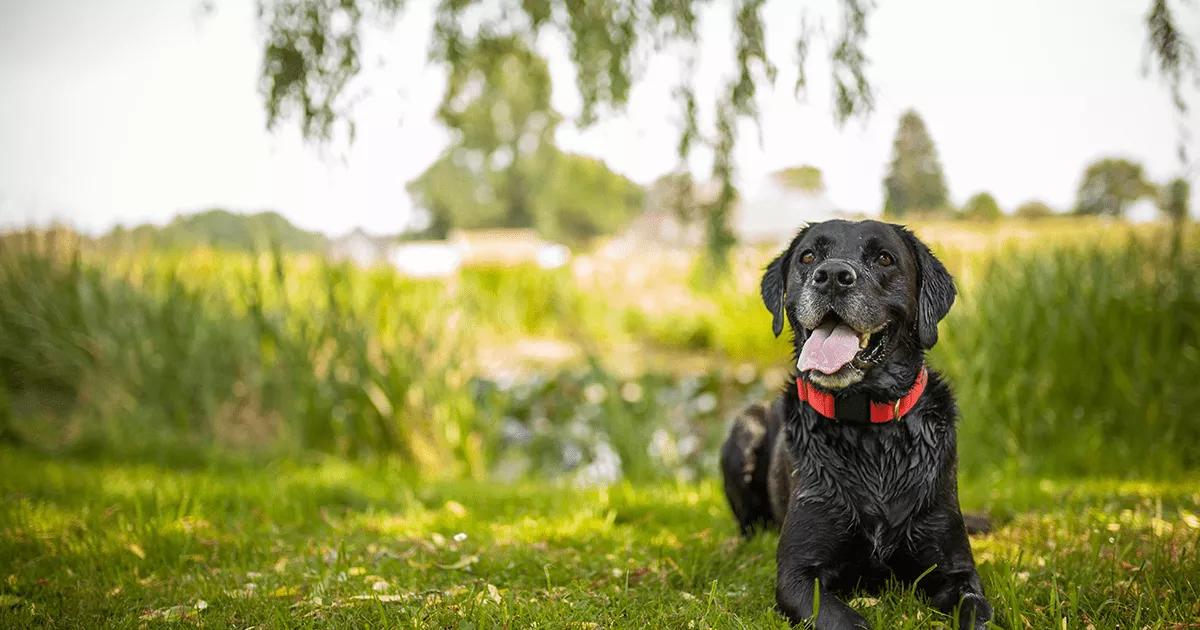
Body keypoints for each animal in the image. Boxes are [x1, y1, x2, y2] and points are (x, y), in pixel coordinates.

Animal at [720, 218, 993, 624]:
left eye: (884, 258)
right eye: (808, 256)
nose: (832, 275)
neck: (868, 428)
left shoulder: (955, 569)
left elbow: (976, 611)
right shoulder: (798, 574)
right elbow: (845, 619)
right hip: (745, 428)